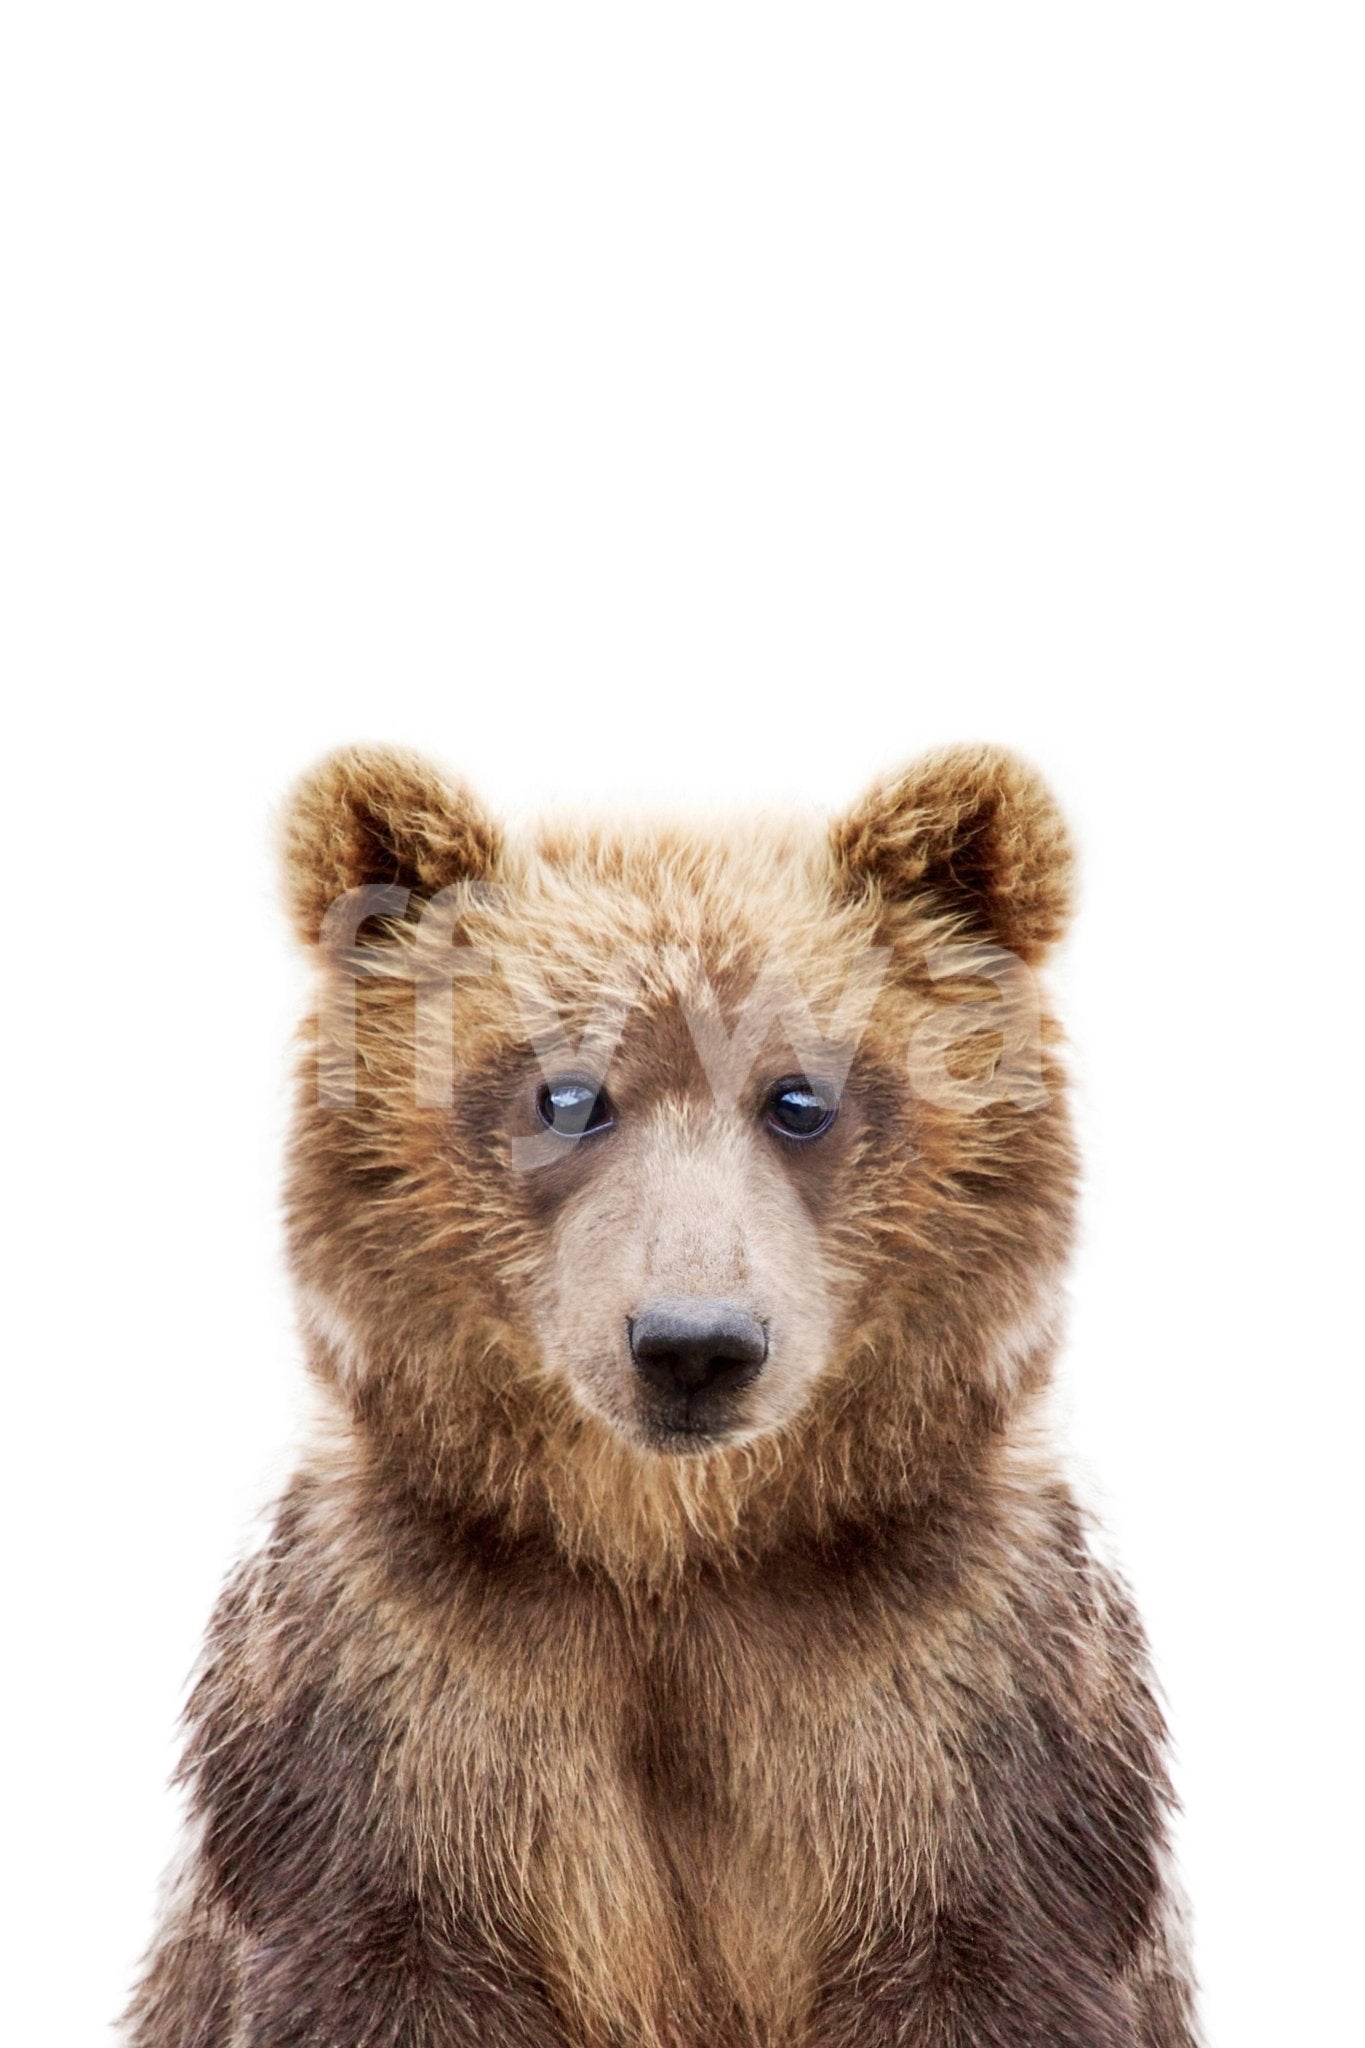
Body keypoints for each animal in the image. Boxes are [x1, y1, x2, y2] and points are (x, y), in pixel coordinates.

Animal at [122, 742, 1200, 2047]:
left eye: (801, 1096)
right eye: (568, 1093)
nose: (694, 1342)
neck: (673, 1553)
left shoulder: (962, 1712)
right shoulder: (397, 1712)